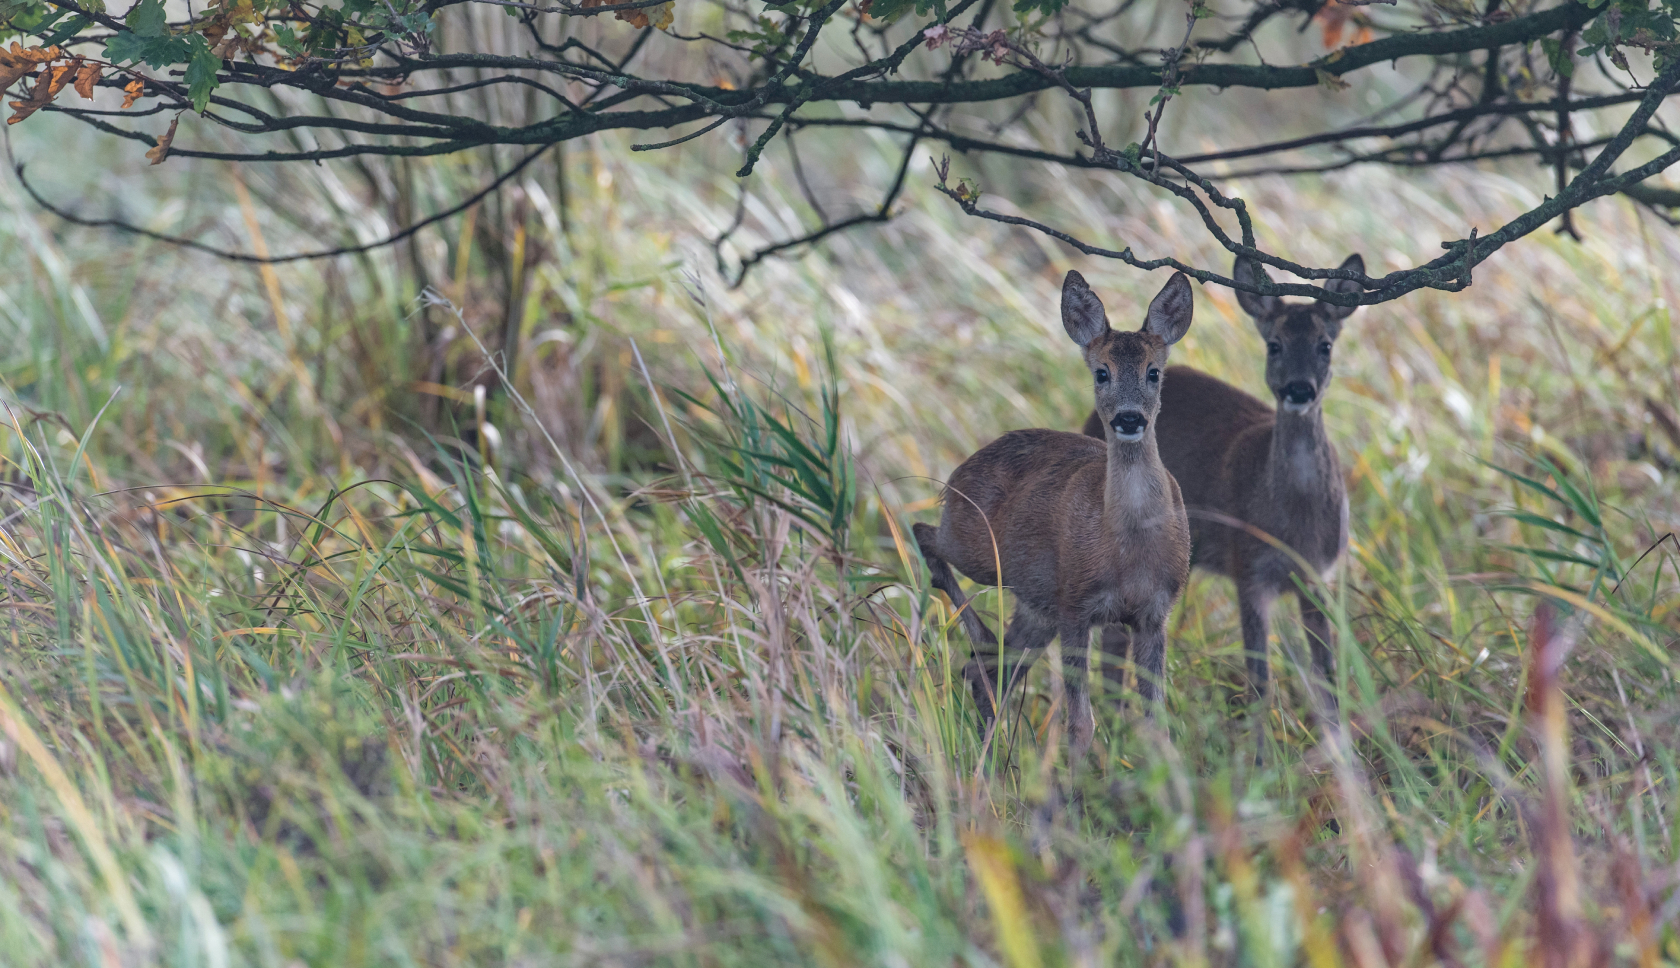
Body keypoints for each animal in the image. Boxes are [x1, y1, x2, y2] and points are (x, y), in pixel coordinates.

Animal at [920, 270, 1196, 756]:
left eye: (1154, 372)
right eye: (1102, 372)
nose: (1129, 419)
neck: (1127, 548)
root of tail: (959, 471)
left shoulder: (1153, 614)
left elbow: (1156, 727)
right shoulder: (1075, 605)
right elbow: (1081, 724)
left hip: (1035, 607)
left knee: (990, 673)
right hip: (976, 547)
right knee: (923, 532)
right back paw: (983, 643)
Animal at [1081, 252, 1370, 702]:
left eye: (1325, 345)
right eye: (1274, 345)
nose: (1299, 390)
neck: (1295, 523)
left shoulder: (1319, 575)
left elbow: (1327, 674)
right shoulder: (1248, 570)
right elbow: (1259, 678)